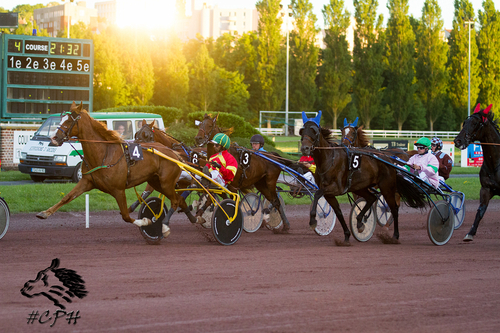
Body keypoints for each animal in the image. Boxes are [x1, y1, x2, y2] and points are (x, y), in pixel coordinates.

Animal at [36, 101, 189, 239]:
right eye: (61, 119)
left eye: (69, 121)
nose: (54, 138)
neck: (104, 154)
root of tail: (173, 153)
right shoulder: (87, 181)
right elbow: (67, 197)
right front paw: (44, 213)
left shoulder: (118, 190)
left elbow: (126, 216)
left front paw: (145, 222)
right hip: (156, 182)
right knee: (179, 200)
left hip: (166, 182)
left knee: (175, 201)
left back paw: (165, 226)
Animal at [298, 111, 428, 244]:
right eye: (302, 131)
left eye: (314, 131)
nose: (304, 148)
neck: (329, 159)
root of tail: (388, 160)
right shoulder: (330, 193)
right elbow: (338, 212)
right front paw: (347, 235)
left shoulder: (336, 188)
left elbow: (317, 194)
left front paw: (313, 220)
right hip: (360, 187)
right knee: (371, 198)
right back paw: (360, 222)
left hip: (387, 187)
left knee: (394, 208)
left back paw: (394, 236)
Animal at [456, 102, 498, 240]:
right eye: (464, 122)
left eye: (475, 123)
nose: (458, 140)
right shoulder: (486, 189)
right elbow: (480, 211)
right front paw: (470, 233)